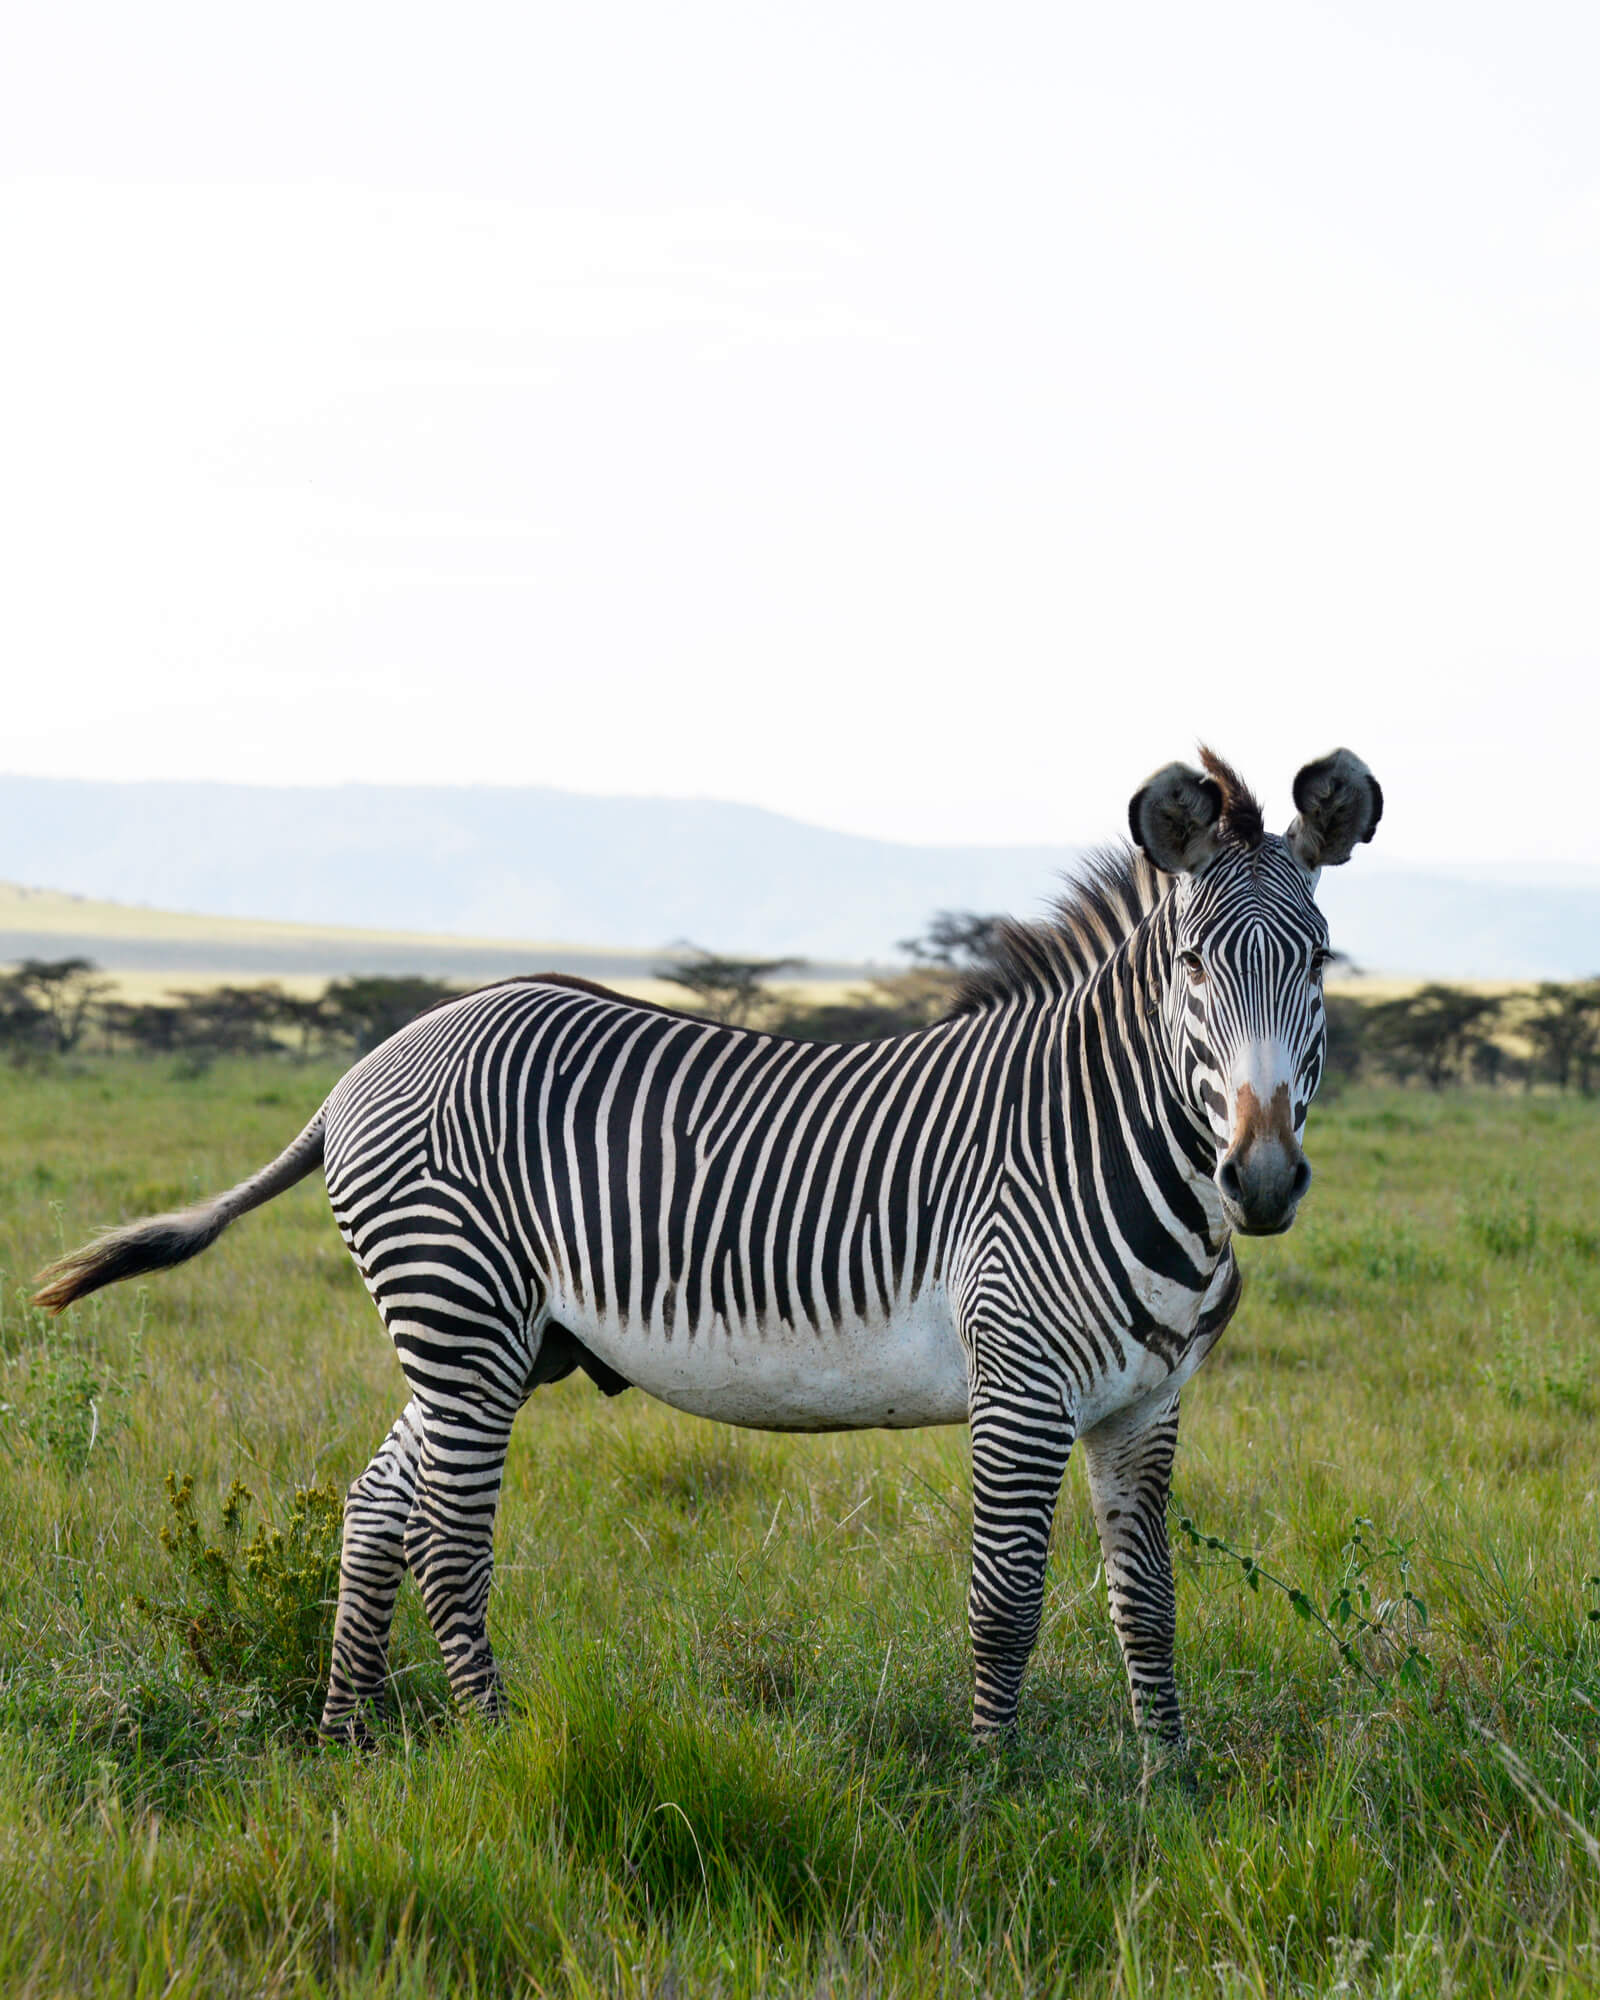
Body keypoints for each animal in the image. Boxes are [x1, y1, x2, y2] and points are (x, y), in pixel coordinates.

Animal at [31, 748, 1376, 1752]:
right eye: (1193, 966)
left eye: (1318, 962)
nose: (1260, 1179)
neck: (1106, 1133)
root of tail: (368, 1063)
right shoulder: (1019, 1380)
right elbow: (1006, 1598)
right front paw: (997, 1789)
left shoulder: (1145, 1401)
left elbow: (1147, 1601)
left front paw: (1167, 1783)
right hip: (460, 1314)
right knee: (448, 1543)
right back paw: (499, 1742)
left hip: (499, 1337)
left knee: (375, 1505)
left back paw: (347, 1735)